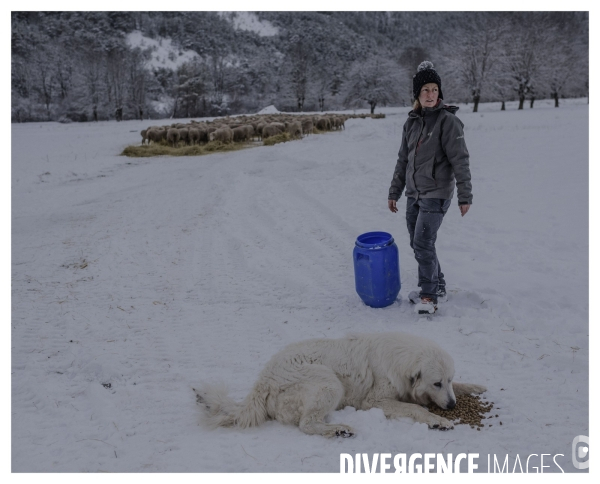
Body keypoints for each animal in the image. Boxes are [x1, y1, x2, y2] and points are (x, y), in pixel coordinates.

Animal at [195, 332, 486, 438]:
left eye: (448, 381)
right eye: (436, 383)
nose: (452, 406)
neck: (400, 358)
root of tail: (262, 381)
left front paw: (475, 387)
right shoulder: (374, 401)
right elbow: (415, 409)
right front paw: (438, 421)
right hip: (329, 383)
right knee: (307, 424)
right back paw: (339, 429)